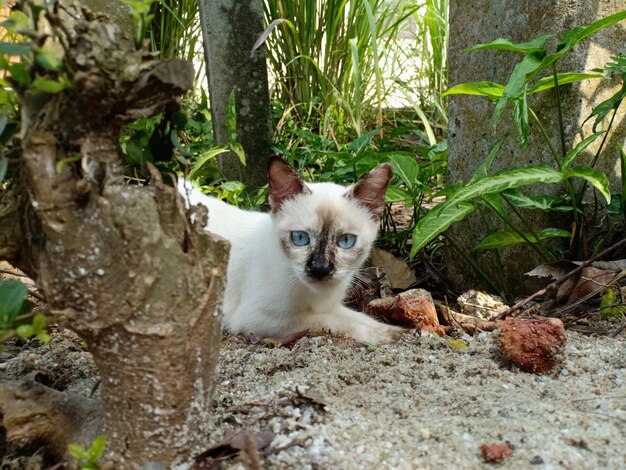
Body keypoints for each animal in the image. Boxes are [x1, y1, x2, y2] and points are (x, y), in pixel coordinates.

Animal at [178, 158, 404, 346]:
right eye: (300, 238)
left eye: (346, 241)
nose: (319, 269)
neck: (316, 296)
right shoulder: (257, 319)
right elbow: (335, 322)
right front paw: (383, 337)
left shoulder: (331, 306)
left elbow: (361, 318)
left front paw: (397, 331)